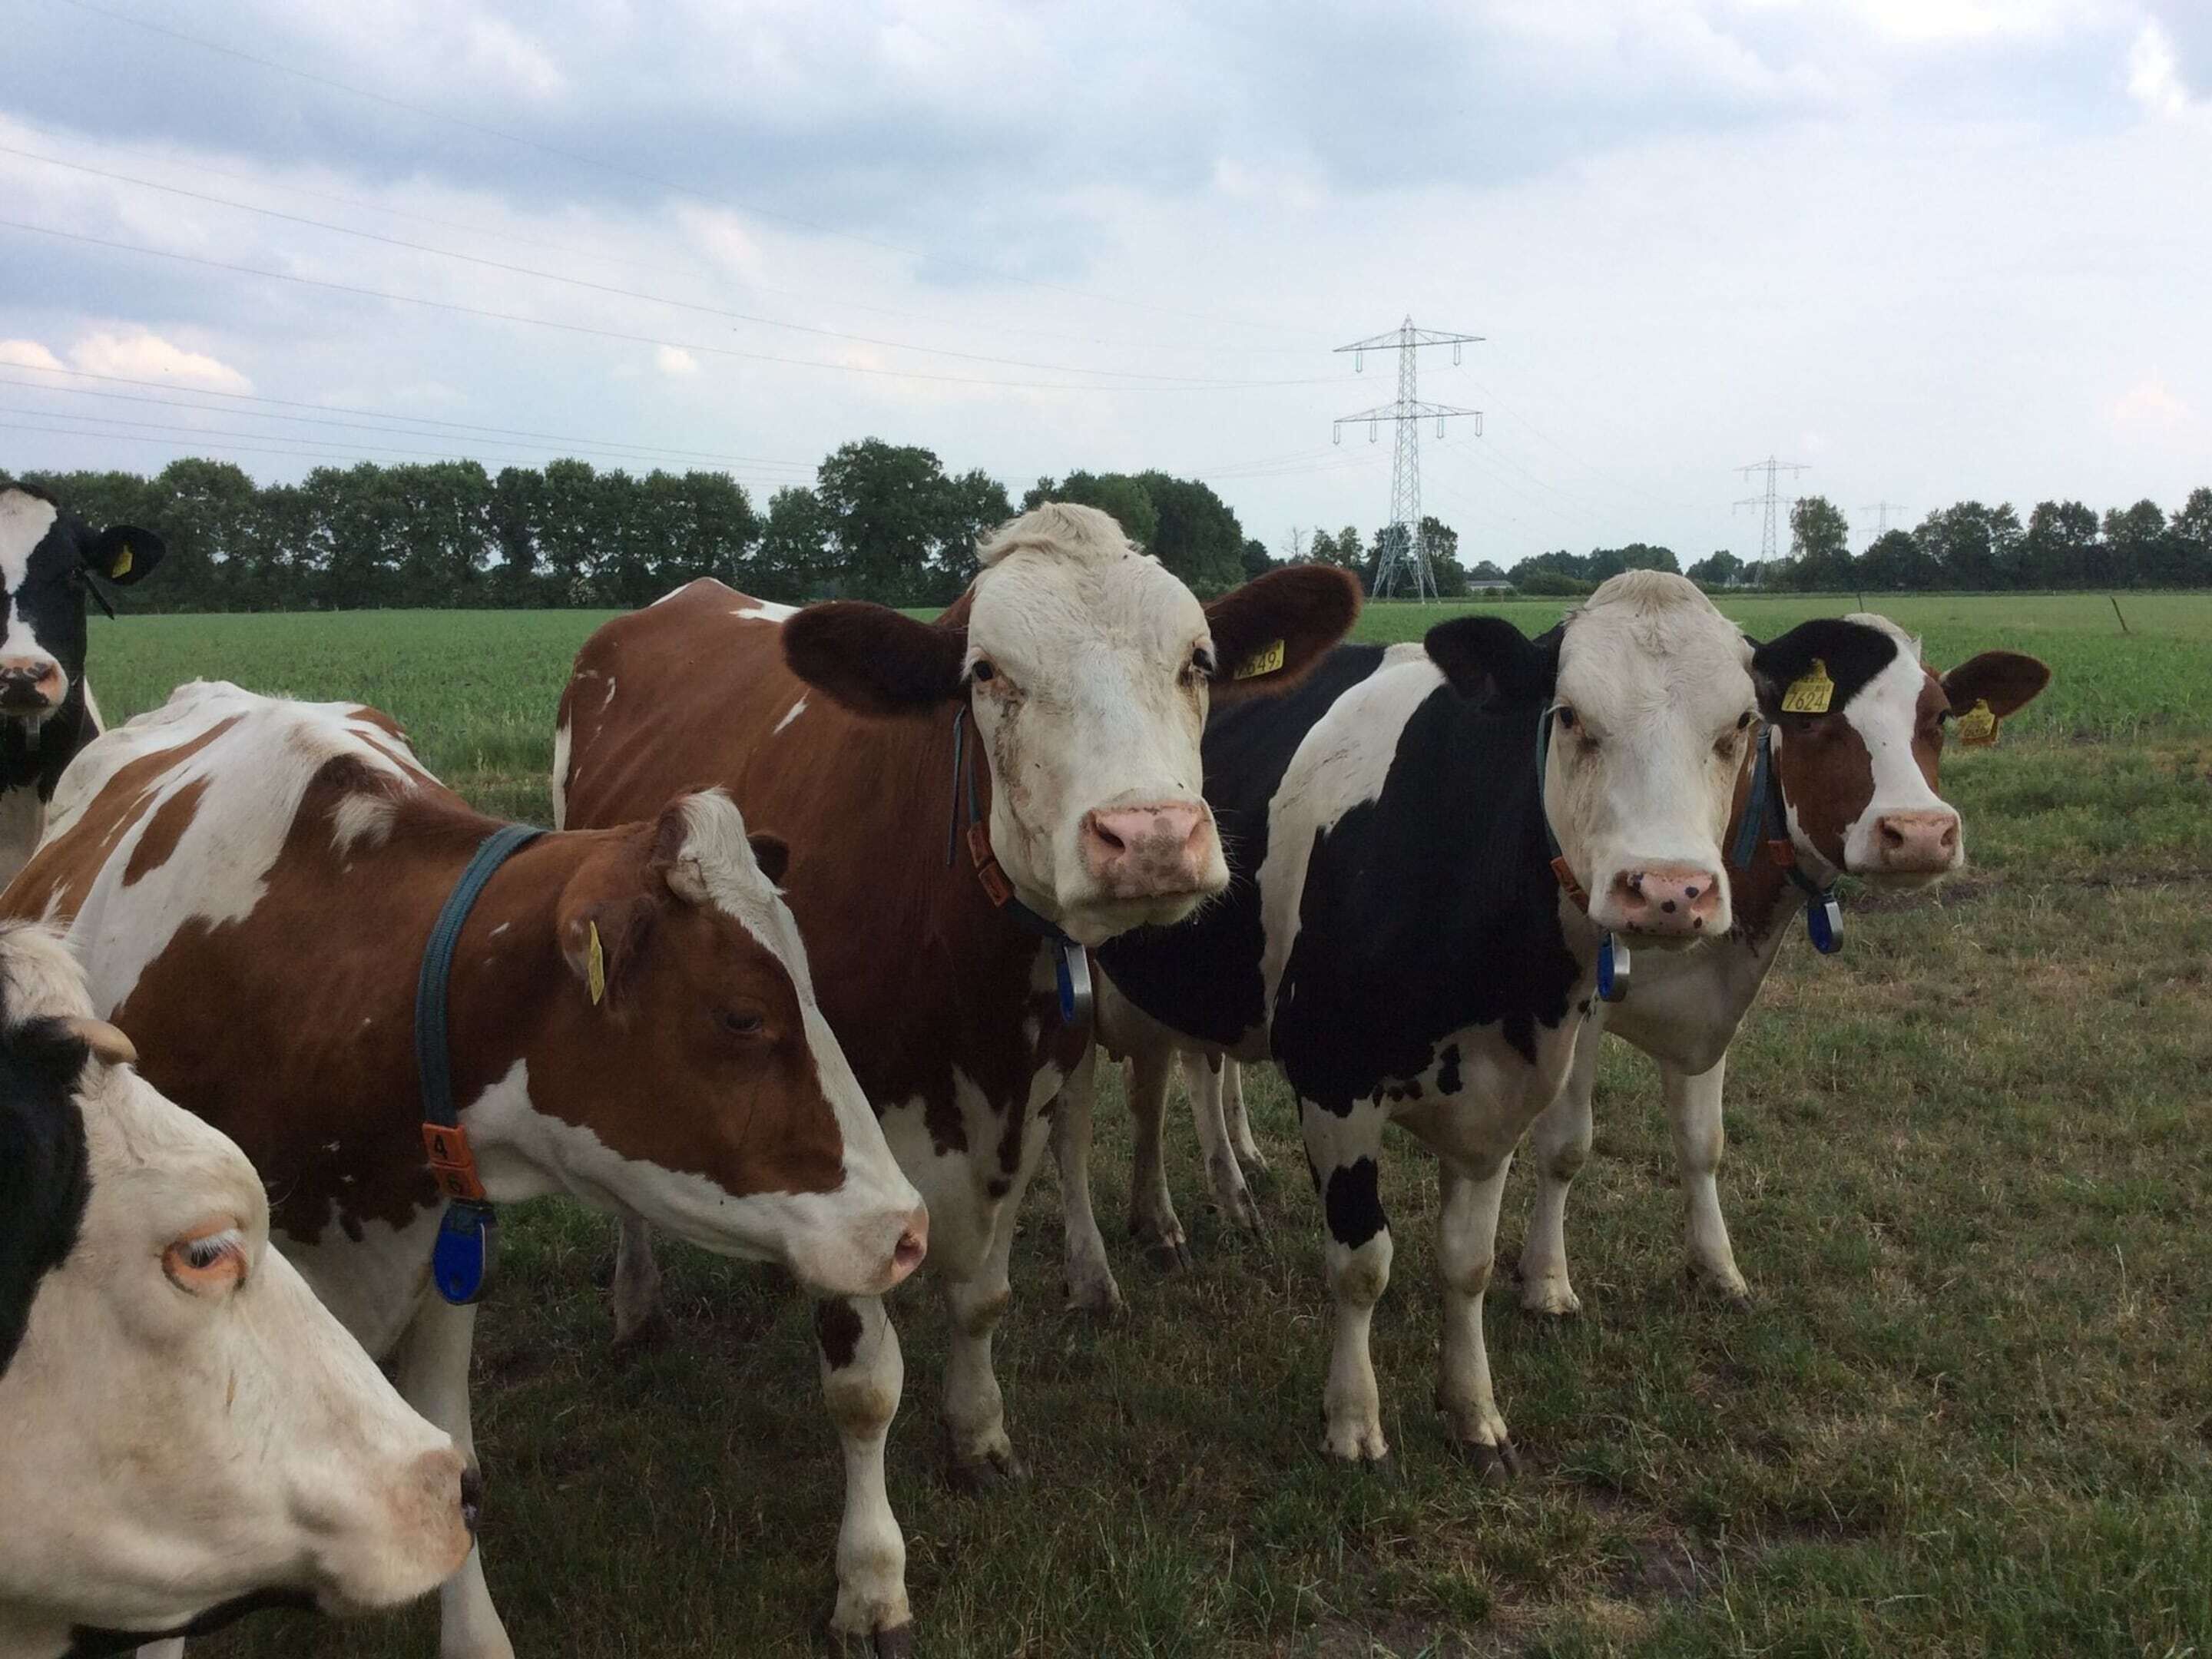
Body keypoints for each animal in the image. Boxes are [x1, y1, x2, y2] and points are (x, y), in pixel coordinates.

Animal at [555, 502, 1361, 1651]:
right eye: (987, 673)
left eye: (1198, 662)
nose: (1151, 838)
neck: (964, 983)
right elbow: (863, 1384)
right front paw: (871, 1579)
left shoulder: (1020, 1105)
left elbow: (982, 1297)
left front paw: (978, 1435)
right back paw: (635, 1305)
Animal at [1075, 571, 1759, 1470]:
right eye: (1570, 715)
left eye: (1742, 725)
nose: (1671, 890)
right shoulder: (1332, 1078)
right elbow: (1363, 1261)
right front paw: (1353, 1423)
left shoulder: (1505, 1093)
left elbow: (1466, 1263)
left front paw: (1473, 1412)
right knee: (1067, 1137)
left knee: (1157, 1086)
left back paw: (1170, 1218)